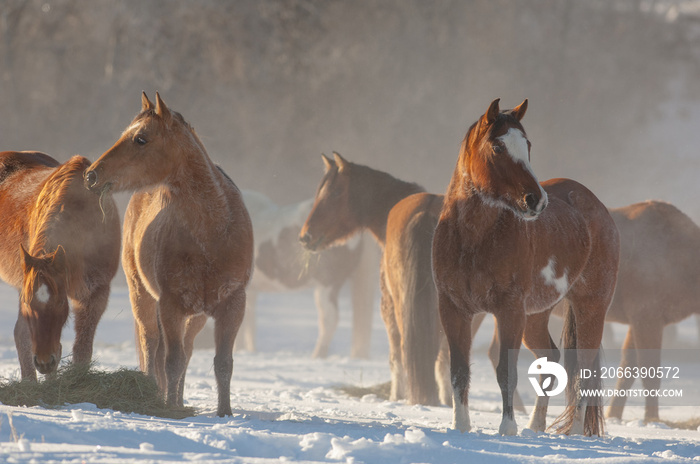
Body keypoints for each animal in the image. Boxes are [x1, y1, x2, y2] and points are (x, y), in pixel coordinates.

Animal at [84, 91, 254, 416]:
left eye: (141, 139)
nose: (91, 175)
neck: (213, 232)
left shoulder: (232, 305)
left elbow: (222, 363)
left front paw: (224, 413)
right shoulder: (171, 305)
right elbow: (170, 362)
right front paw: (169, 410)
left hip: (195, 317)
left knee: (185, 352)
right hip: (144, 298)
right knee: (152, 347)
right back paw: (158, 395)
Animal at [298, 153, 452, 406]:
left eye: (335, 192)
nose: (305, 236)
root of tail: (426, 211)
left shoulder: (387, 307)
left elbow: (395, 357)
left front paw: (395, 396)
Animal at [434, 99, 620, 436]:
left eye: (527, 145)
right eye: (497, 147)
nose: (536, 200)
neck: (472, 238)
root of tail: (596, 206)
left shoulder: (509, 311)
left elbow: (506, 371)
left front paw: (507, 429)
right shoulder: (453, 309)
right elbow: (459, 371)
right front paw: (461, 427)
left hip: (591, 307)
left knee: (584, 371)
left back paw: (574, 432)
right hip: (536, 317)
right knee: (550, 356)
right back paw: (536, 426)